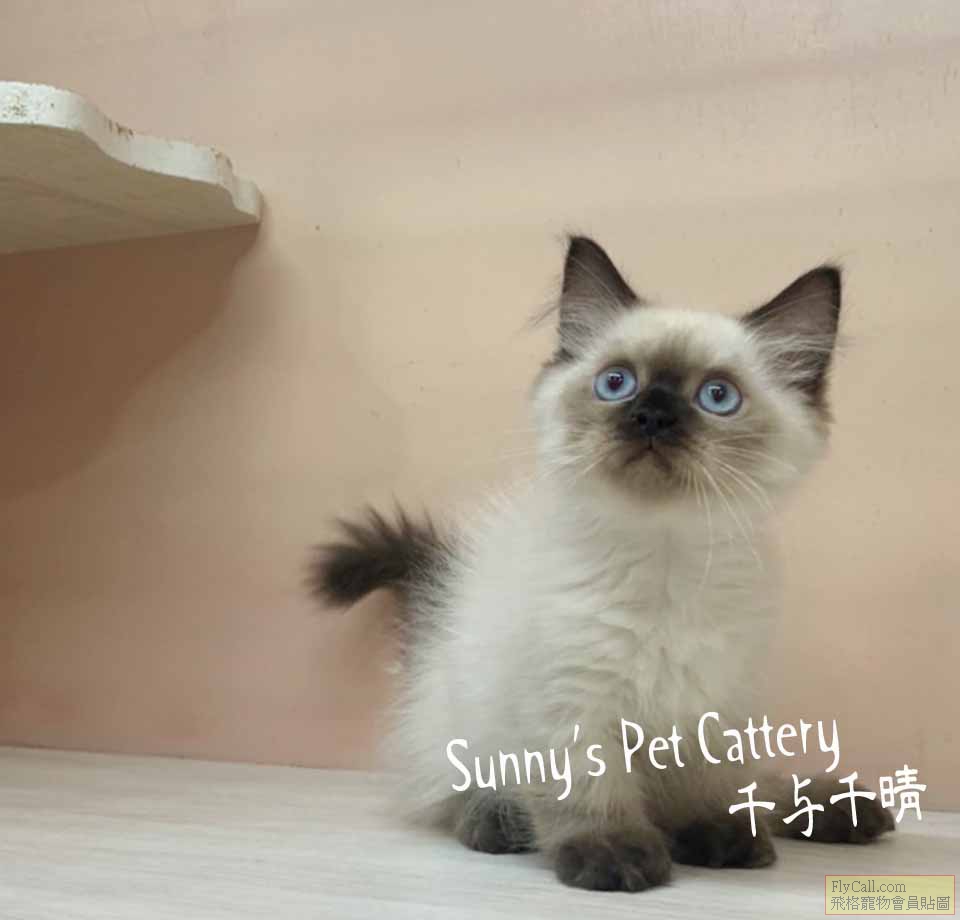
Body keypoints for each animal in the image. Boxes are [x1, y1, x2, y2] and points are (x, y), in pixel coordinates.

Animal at [309, 237, 893, 892]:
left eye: (716, 397)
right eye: (617, 383)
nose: (652, 416)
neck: (664, 560)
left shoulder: (711, 707)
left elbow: (707, 791)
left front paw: (719, 838)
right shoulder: (572, 701)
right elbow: (592, 792)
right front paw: (615, 857)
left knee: (761, 788)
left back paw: (836, 811)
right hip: (460, 719)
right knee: (451, 792)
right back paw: (498, 822)